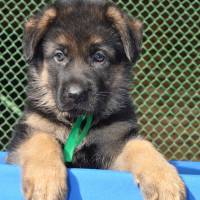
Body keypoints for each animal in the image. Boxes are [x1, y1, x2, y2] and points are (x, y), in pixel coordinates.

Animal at [7, 0, 186, 199]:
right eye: (59, 55)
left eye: (99, 57)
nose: (75, 94)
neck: (77, 121)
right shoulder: (27, 135)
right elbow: (42, 139)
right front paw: (45, 182)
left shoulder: (114, 143)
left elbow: (141, 146)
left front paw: (164, 179)